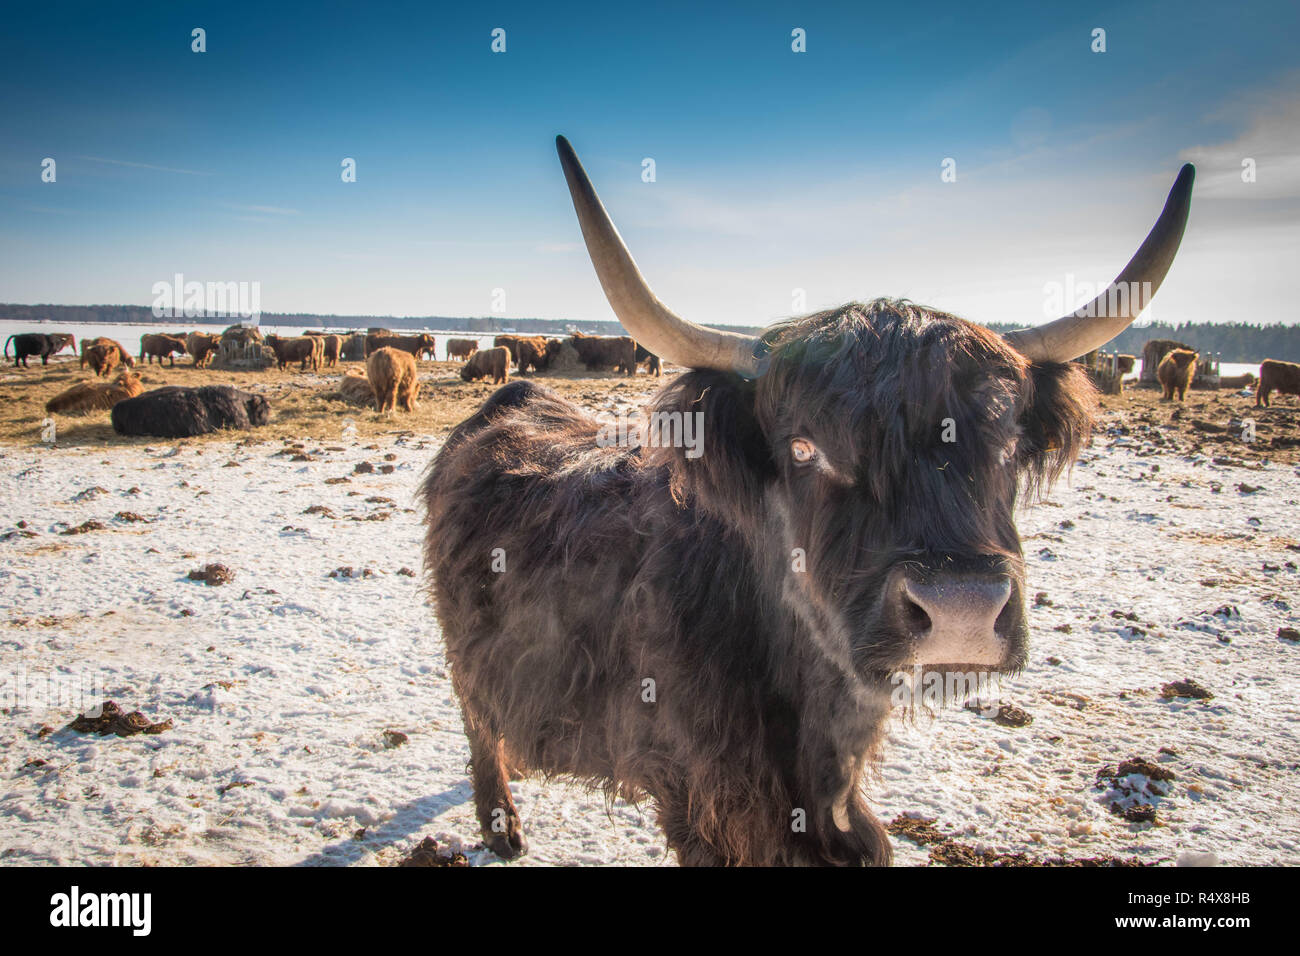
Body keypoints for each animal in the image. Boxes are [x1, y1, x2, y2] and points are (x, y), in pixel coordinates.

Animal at [421, 137, 1195, 866]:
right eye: (803, 448)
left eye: (1006, 439)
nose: (962, 610)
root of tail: (514, 397)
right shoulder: (695, 792)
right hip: (465, 654)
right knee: (479, 721)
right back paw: (501, 824)